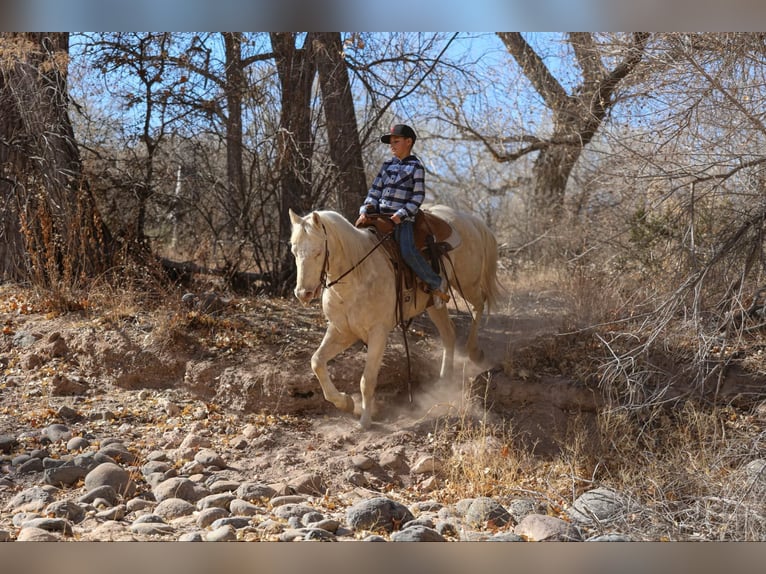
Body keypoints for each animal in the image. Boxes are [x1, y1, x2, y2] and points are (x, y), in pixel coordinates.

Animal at [289, 205, 501, 428]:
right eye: (294, 251)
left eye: (318, 251)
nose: (303, 293)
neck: (357, 275)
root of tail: (469, 219)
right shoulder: (341, 331)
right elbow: (317, 362)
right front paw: (346, 403)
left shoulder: (378, 332)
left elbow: (367, 379)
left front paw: (365, 420)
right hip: (435, 304)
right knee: (449, 333)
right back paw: (444, 379)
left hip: (468, 283)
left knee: (479, 305)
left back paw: (474, 352)